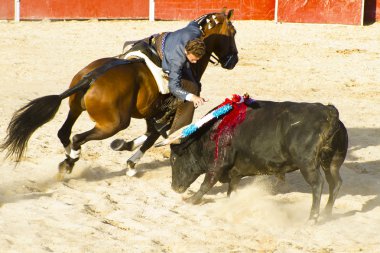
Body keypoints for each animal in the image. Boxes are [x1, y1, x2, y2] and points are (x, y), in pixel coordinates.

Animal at [0, 8, 238, 178]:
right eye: (233, 32)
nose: (233, 60)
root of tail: (91, 78)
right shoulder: (169, 112)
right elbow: (154, 135)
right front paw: (131, 161)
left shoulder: (152, 112)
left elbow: (151, 132)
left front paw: (125, 148)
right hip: (114, 124)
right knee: (77, 137)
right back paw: (70, 162)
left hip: (75, 108)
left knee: (64, 132)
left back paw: (68, 159)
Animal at [171, 100, 348, 220]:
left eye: (174, 159)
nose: (174, 187)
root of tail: (329, 112)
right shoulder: (235, 172)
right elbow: (231, 190)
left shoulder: (218, 164)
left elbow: (206, 184)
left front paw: (190, 200)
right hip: (332, 162)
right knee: (335, 182)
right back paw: (326, 212)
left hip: (307, 165)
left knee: (318, 184)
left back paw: (312, 217)